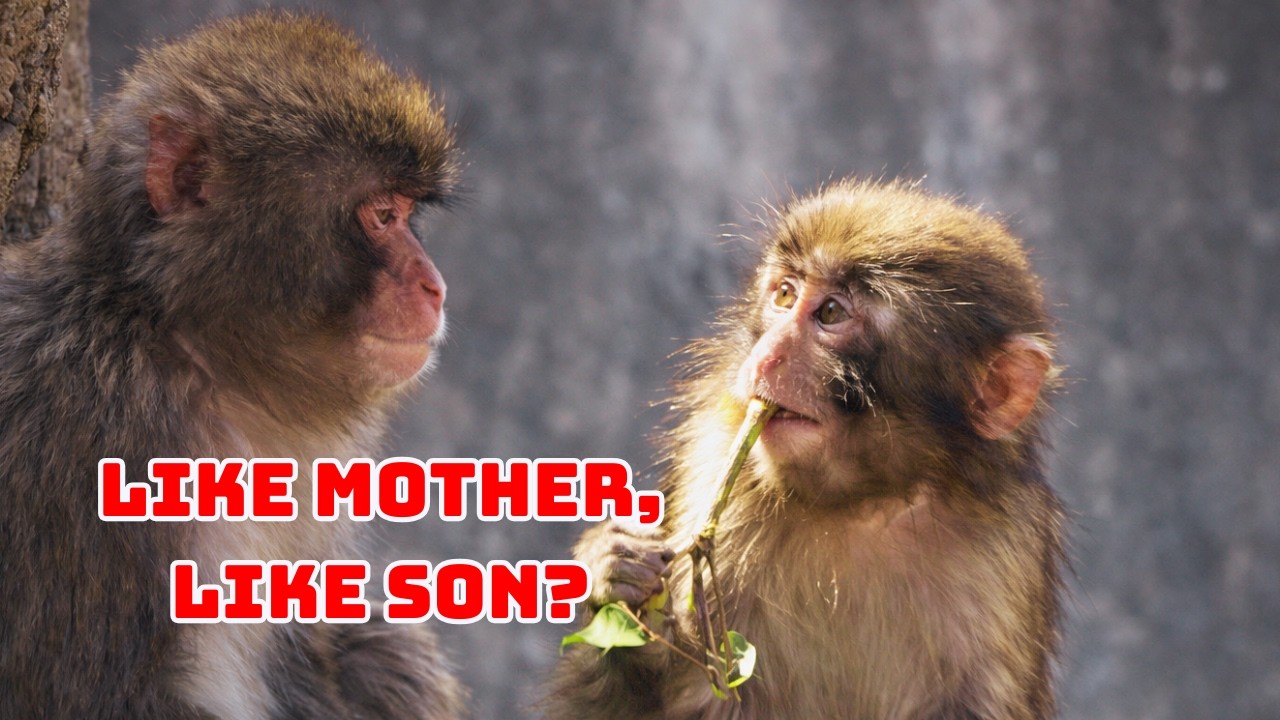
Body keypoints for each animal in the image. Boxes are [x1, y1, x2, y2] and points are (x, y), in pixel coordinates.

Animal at [548, 179, 1065, 720]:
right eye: (784, 294)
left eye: (831, 313)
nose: (766, 354)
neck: (864, 502)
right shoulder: (709, 459)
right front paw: (617, 577)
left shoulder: (1007, 548)